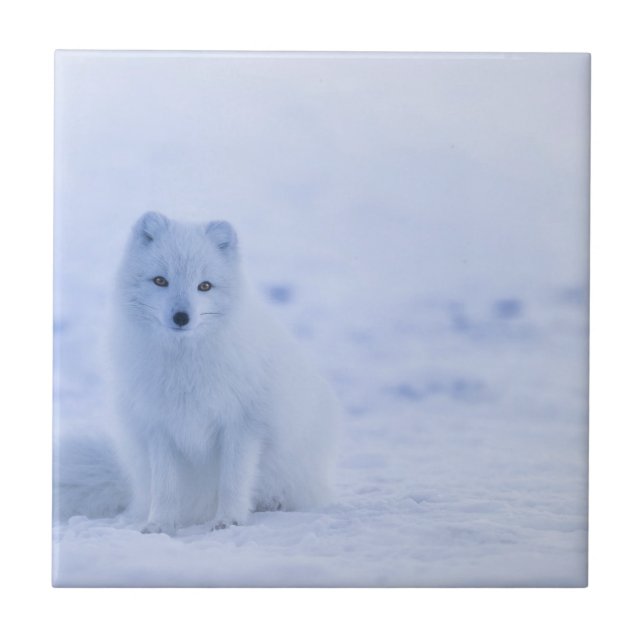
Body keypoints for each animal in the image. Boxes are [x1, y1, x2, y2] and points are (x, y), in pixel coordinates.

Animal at [56, 212, 340, 534]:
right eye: (160, 280)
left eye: (204, 286)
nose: (181, 317)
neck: (185, 366)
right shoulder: (159, 427)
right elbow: (165, 487)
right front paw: (159, 524)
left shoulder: (242, 425)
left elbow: (233, 481)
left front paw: (229, 520)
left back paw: (273, 503)